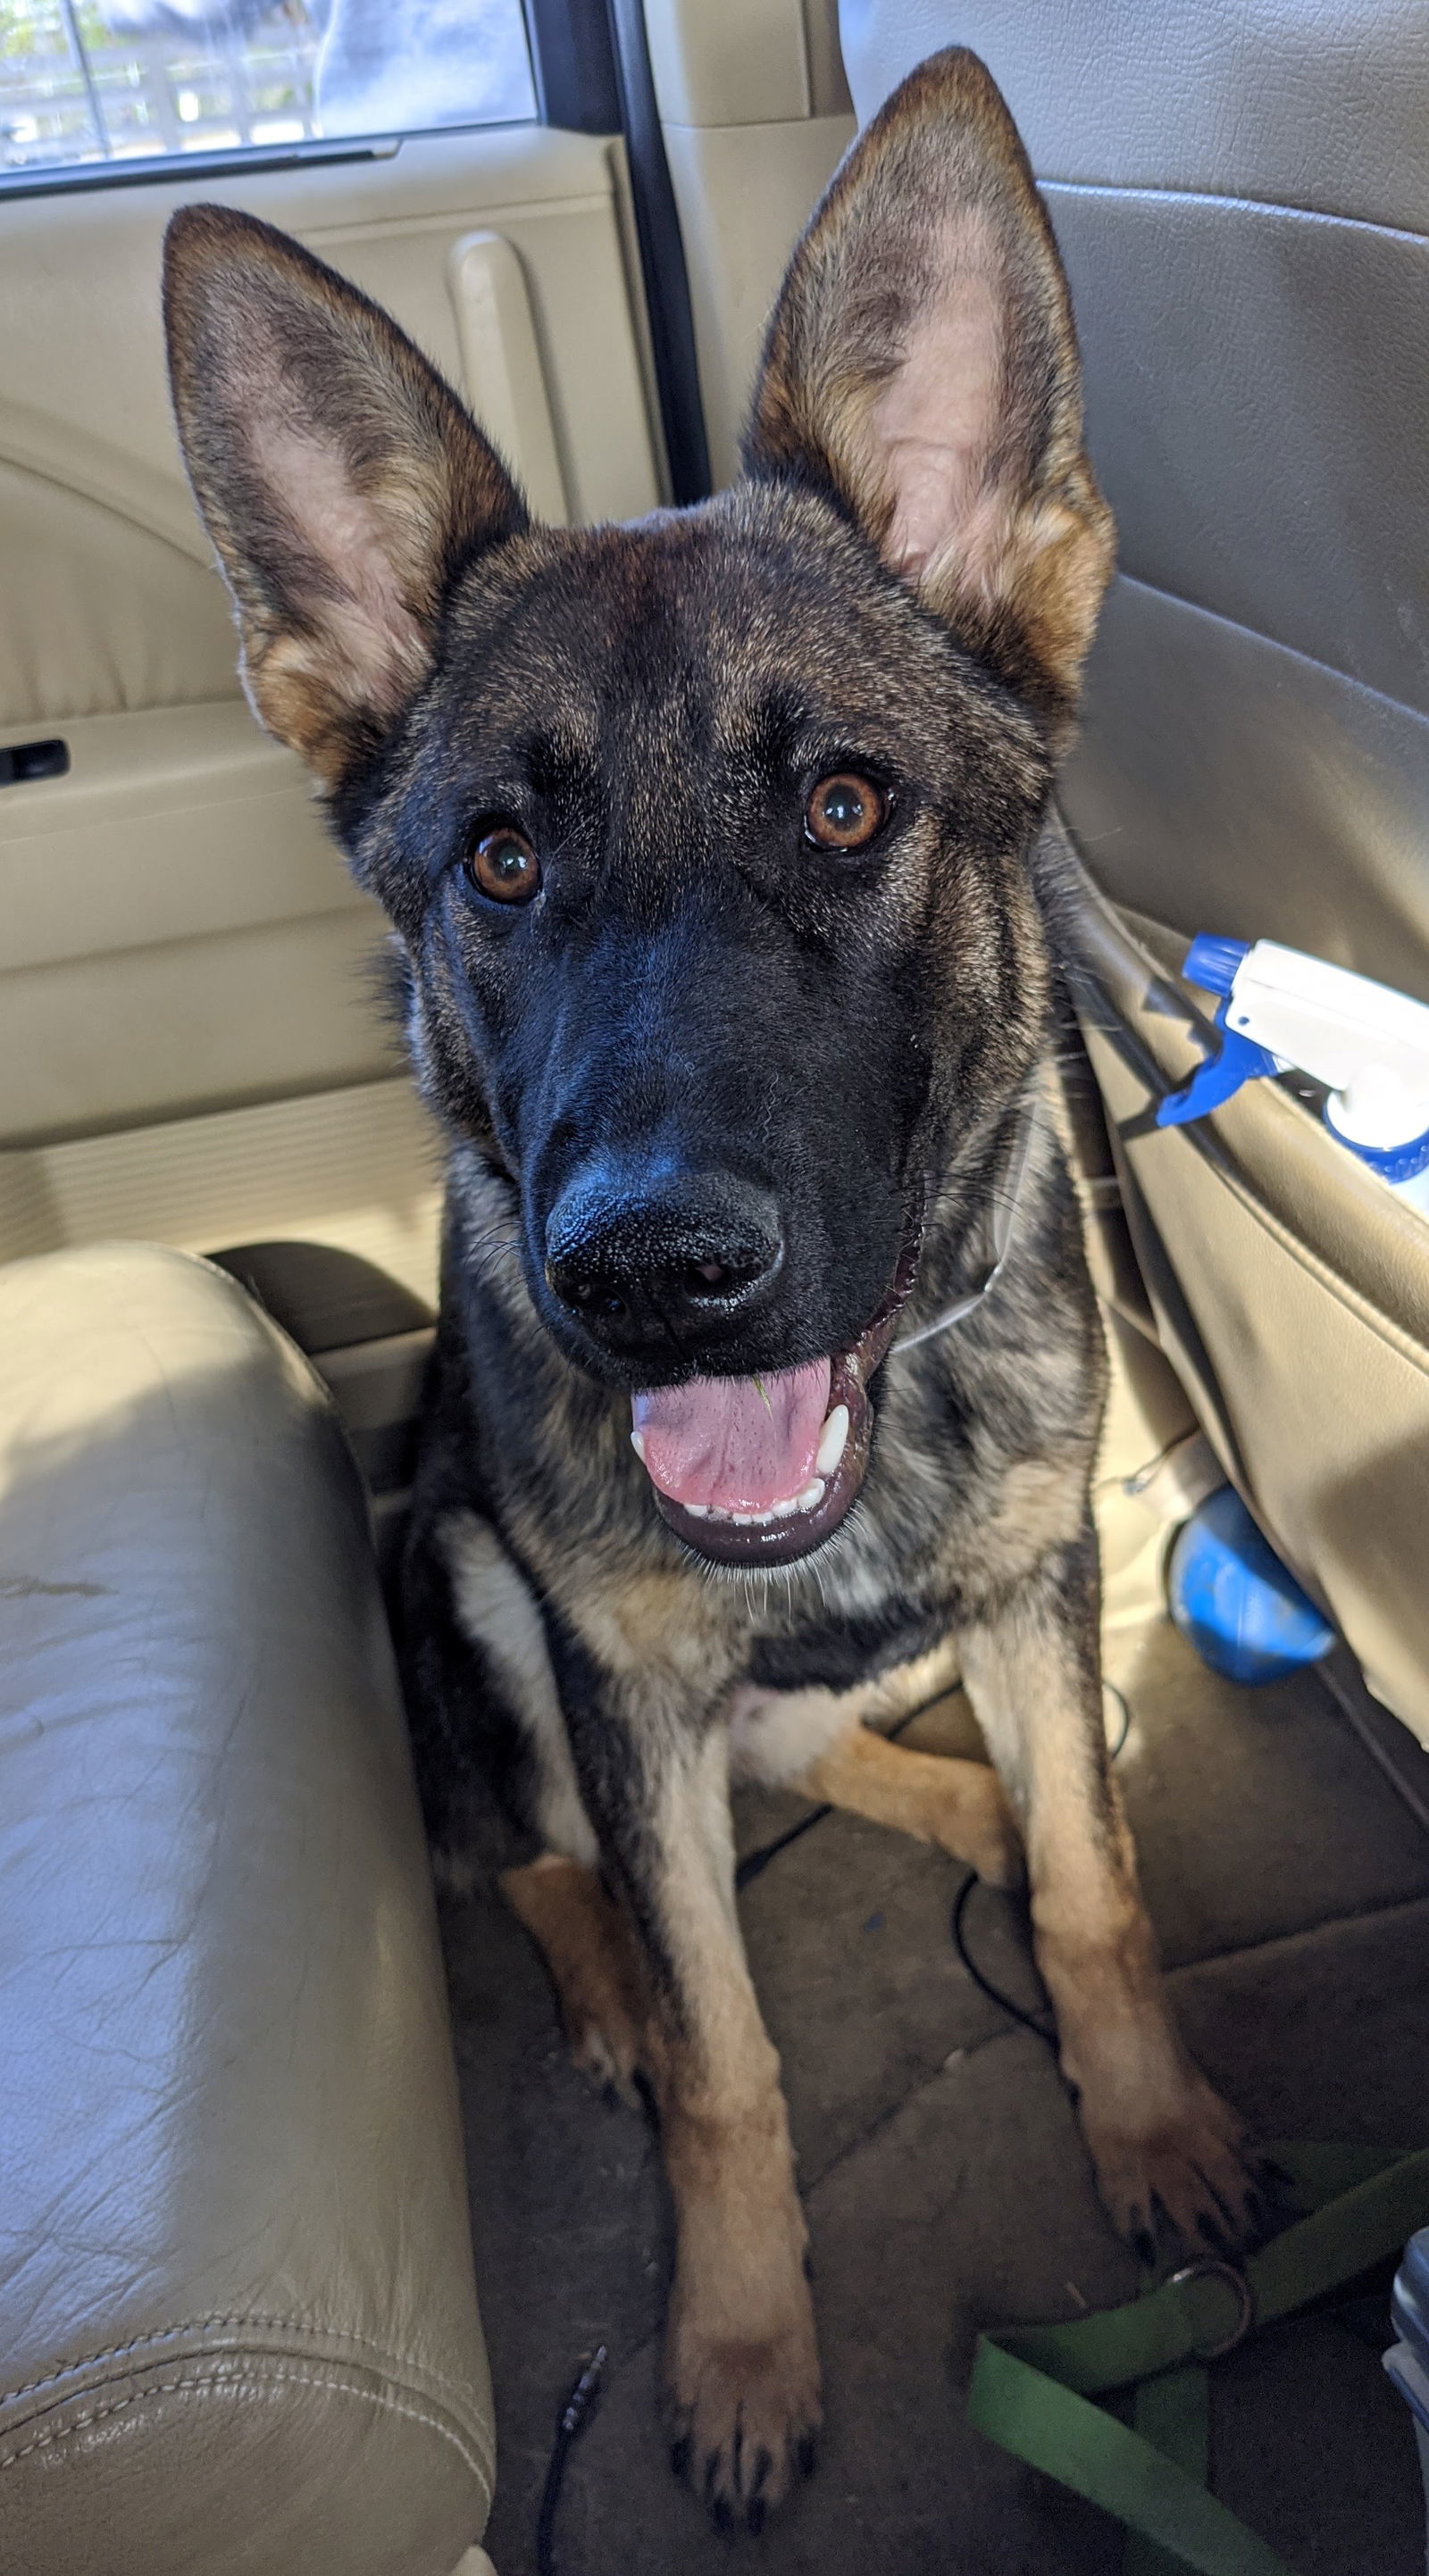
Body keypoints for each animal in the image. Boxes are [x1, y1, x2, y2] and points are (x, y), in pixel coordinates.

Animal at [164, 50, 1261, 2524]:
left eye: (847, 809)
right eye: (497, 863)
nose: (648, 1275)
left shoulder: (1035, 1570)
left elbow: (1090, 1892)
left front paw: (1142, 2109)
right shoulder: (606, 1667)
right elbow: (725, 2047)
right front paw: (742, 2339)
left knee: (862, 1751)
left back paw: (973, 1796)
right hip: (461, 1578)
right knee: (548, 1856)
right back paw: (601, 1985)